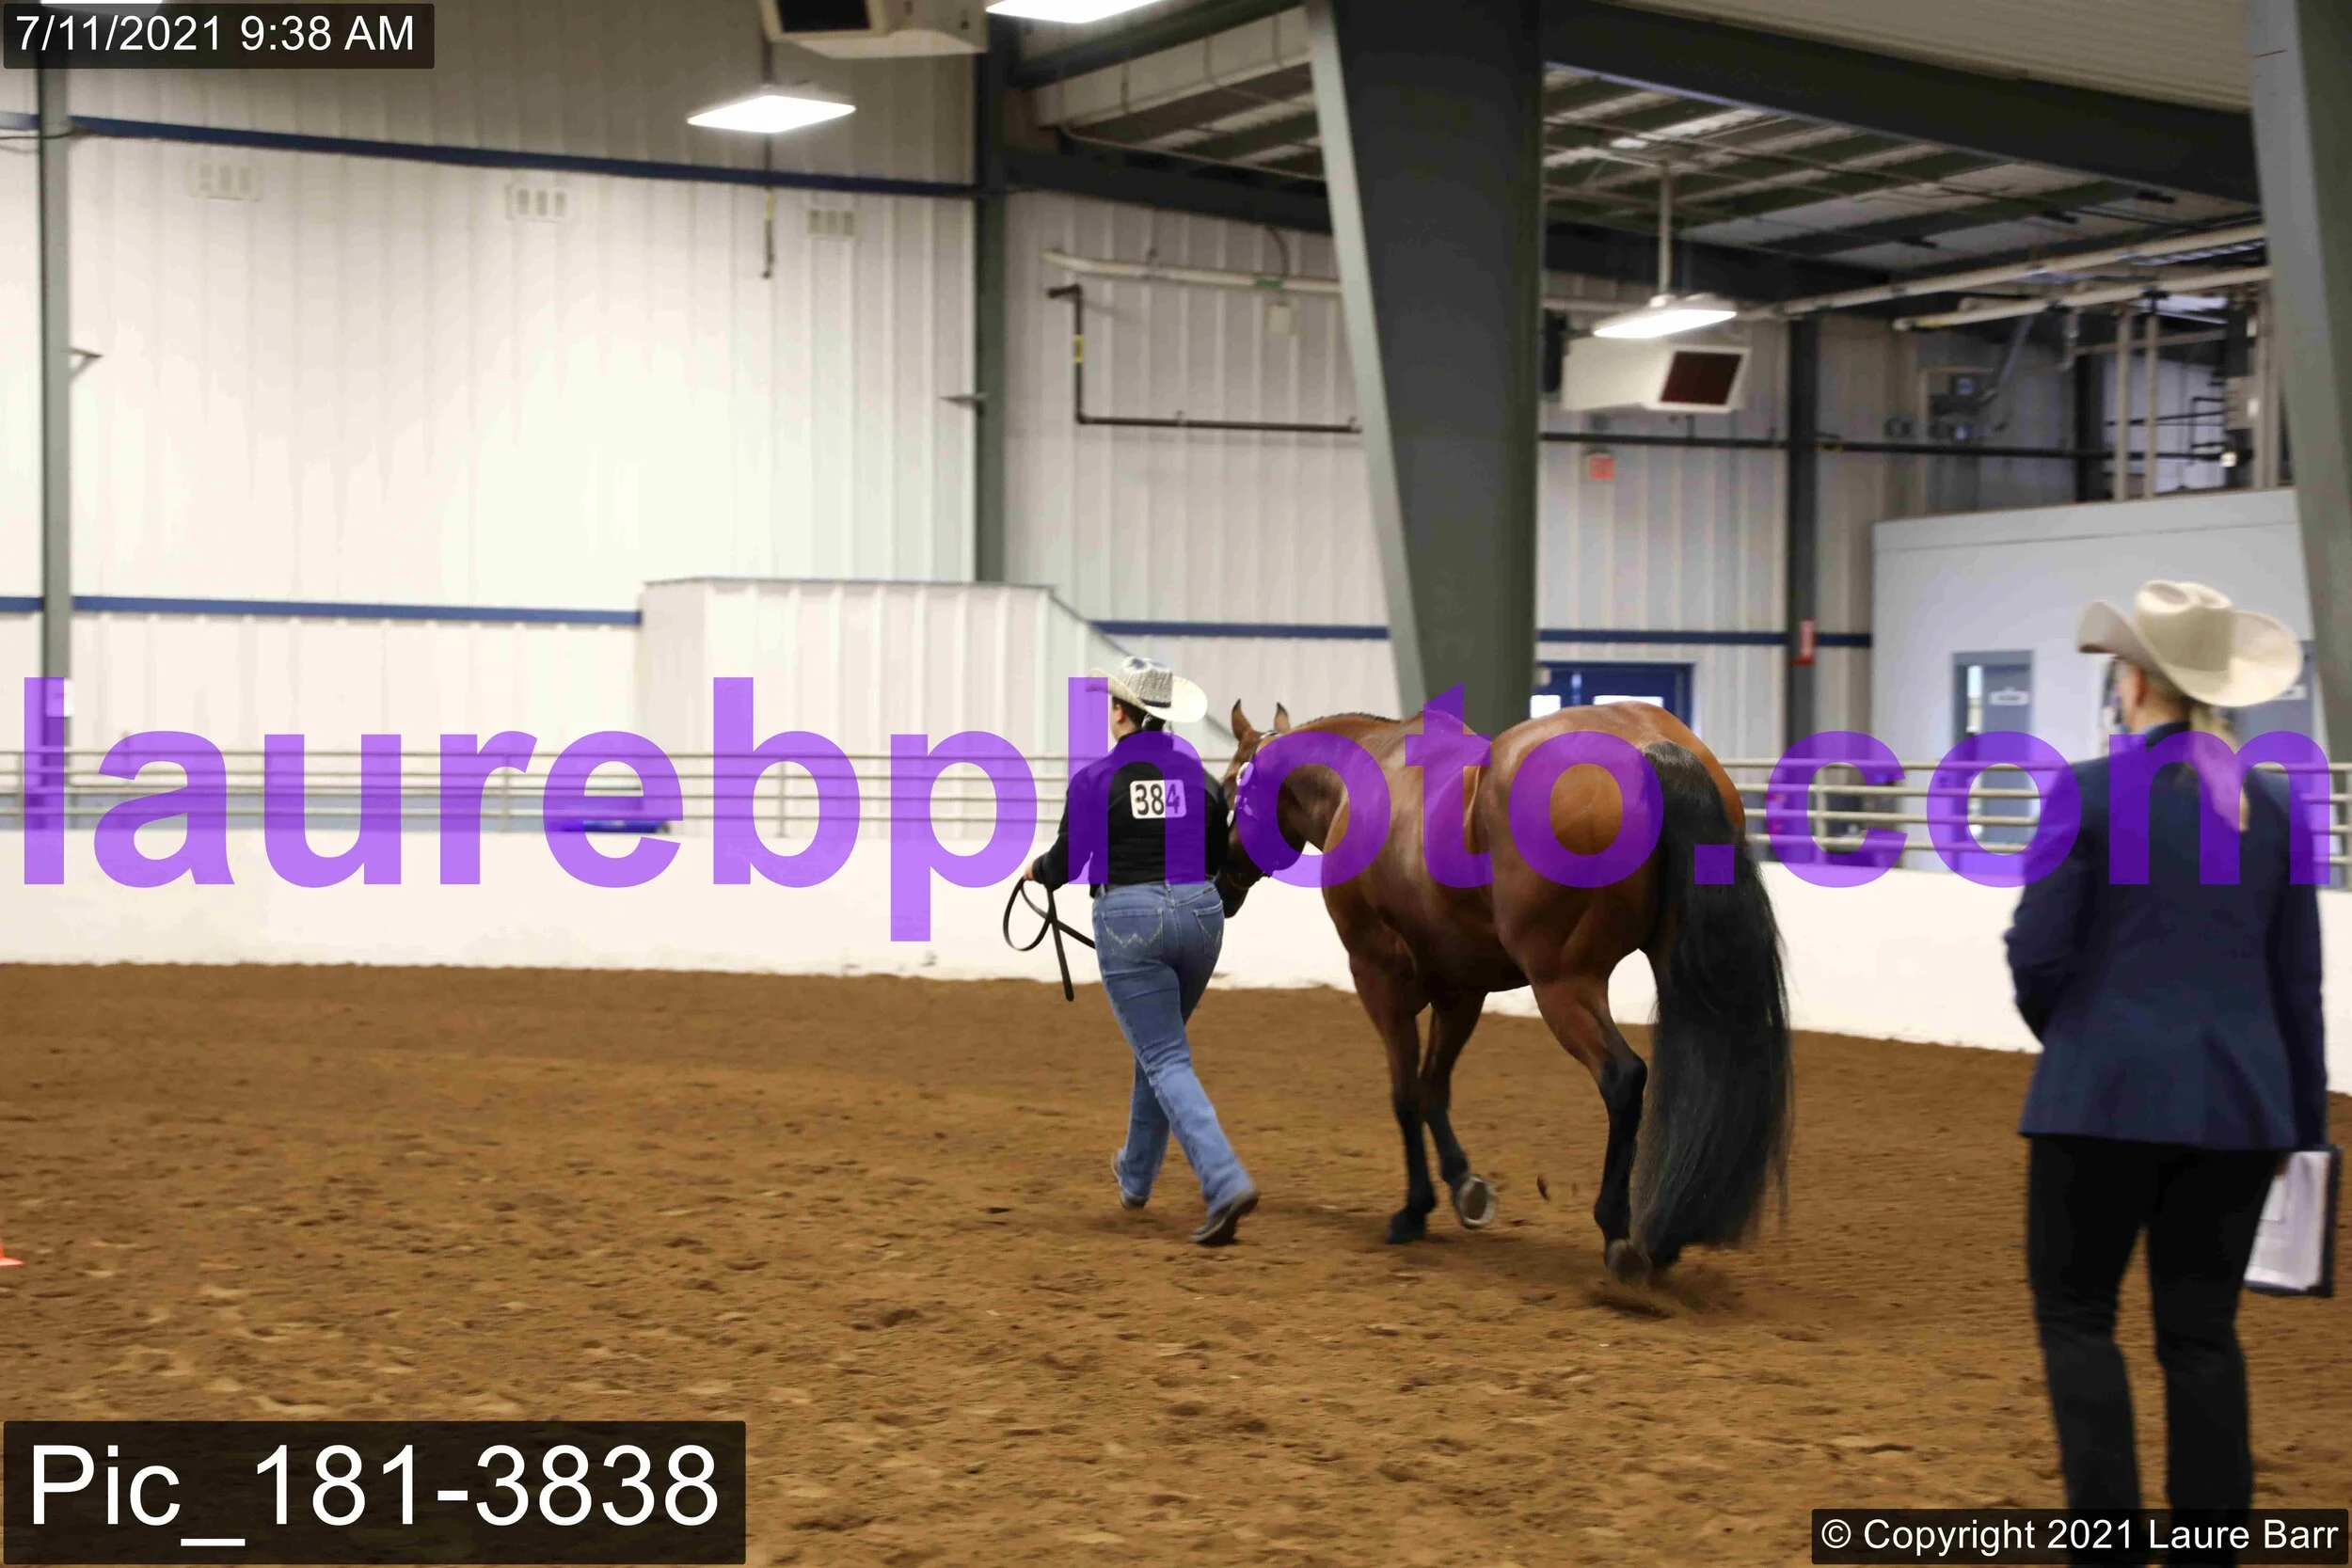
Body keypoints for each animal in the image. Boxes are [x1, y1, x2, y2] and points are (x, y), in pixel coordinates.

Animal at [1213, 700, 1790, 1283]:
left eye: (1230, 788)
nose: (1221, 882)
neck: (1360, 779)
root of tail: (1651, 747)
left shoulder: (1378, 977)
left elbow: (1405, 1093)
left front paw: (1414, 1208)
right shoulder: (1461, 989)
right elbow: (1432, 1087)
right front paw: (1463, 1186)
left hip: (1562, 984)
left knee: (1623, 1078)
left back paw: (1618, 1231)